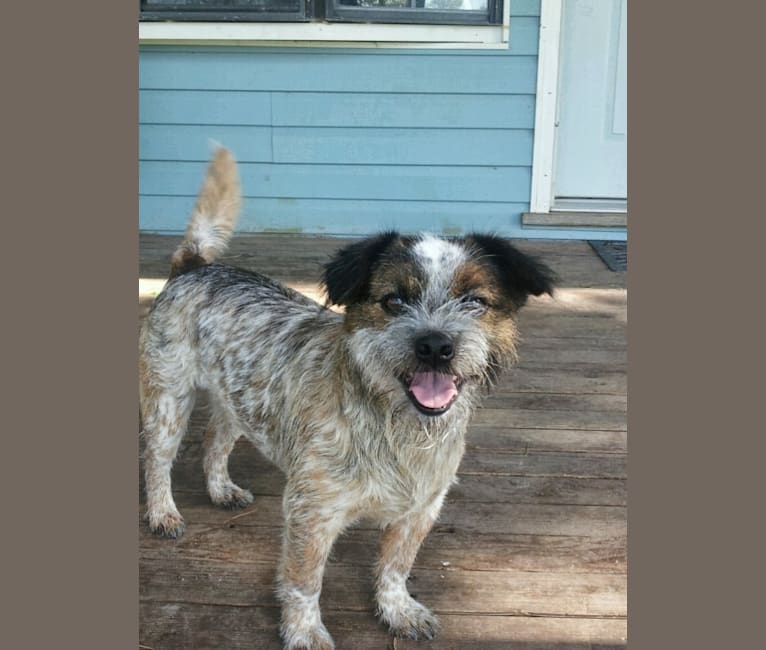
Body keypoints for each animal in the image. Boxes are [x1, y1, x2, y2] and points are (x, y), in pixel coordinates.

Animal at [140, 148, 560, 648]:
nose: (435, 345)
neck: (398, 429)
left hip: (235, 403)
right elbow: (304, 581)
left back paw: (222, 490)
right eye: (394, 300)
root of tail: (195, 267)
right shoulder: (312, 511)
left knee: (214, 443)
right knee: (158, 462)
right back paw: (163, 514)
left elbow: (396, 567)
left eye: (474, 301)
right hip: (168, 403)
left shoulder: (421, 510)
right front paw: (305, 632)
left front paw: (398, 610)